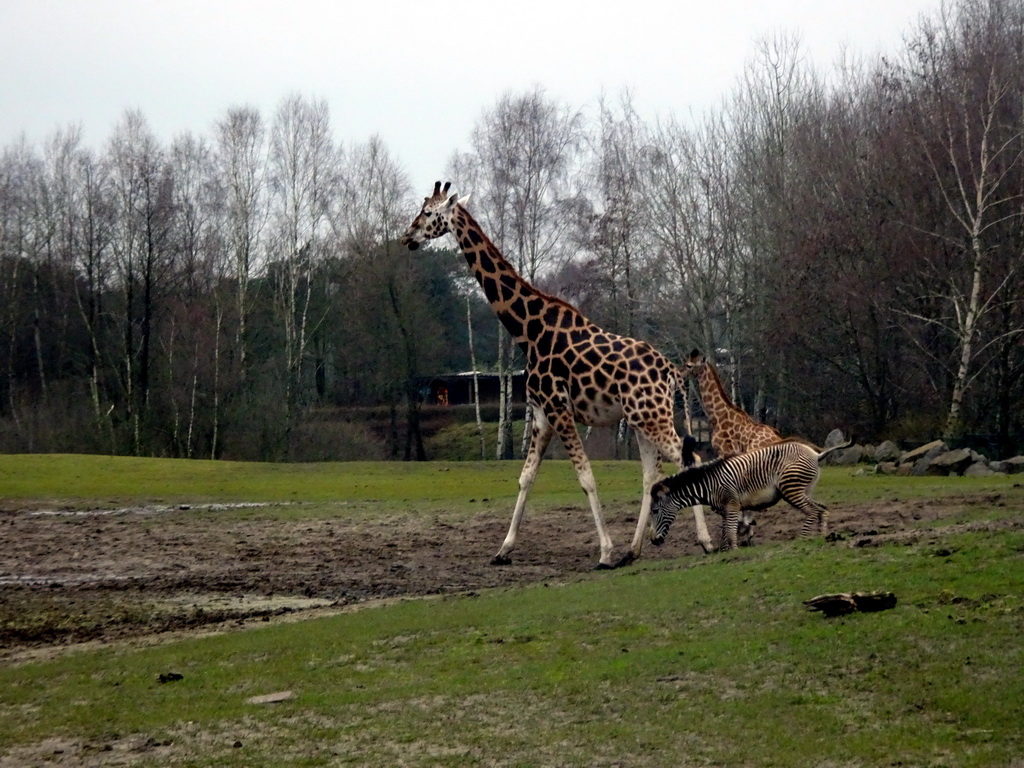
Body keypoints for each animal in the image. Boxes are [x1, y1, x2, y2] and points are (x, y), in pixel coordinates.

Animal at [401, 180, 712, 565]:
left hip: (652, 415)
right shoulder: (540, 413)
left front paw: (604, 551)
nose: (407, 236)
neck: (527, 332)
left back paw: (704, 541)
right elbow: (526, 478)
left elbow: (586, 477)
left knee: (688, 458)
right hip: (641, 419)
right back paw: (634, 550)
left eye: (428, 212)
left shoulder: (559, 408)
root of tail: (669, 369)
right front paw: (504, 549)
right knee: (651, 474)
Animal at [647, 438, 856, 552]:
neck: (708, 485)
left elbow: (731, 532)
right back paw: (822, 536)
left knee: (812, 511)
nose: (653, 541)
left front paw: (734, 551)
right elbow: (726, 531)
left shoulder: (732, 504)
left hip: (791, 488)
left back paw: (804, 539)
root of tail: (815, 454)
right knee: (822, 509)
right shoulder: (726, 510)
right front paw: (725, 552)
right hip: (803, 489)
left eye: (655, 511)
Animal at [679, 348, 782, 548]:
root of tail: (778, 439)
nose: (679, 373)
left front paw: (732, 534)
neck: (718, 415)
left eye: (688, 365)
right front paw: (742, 530)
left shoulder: (726, 452)